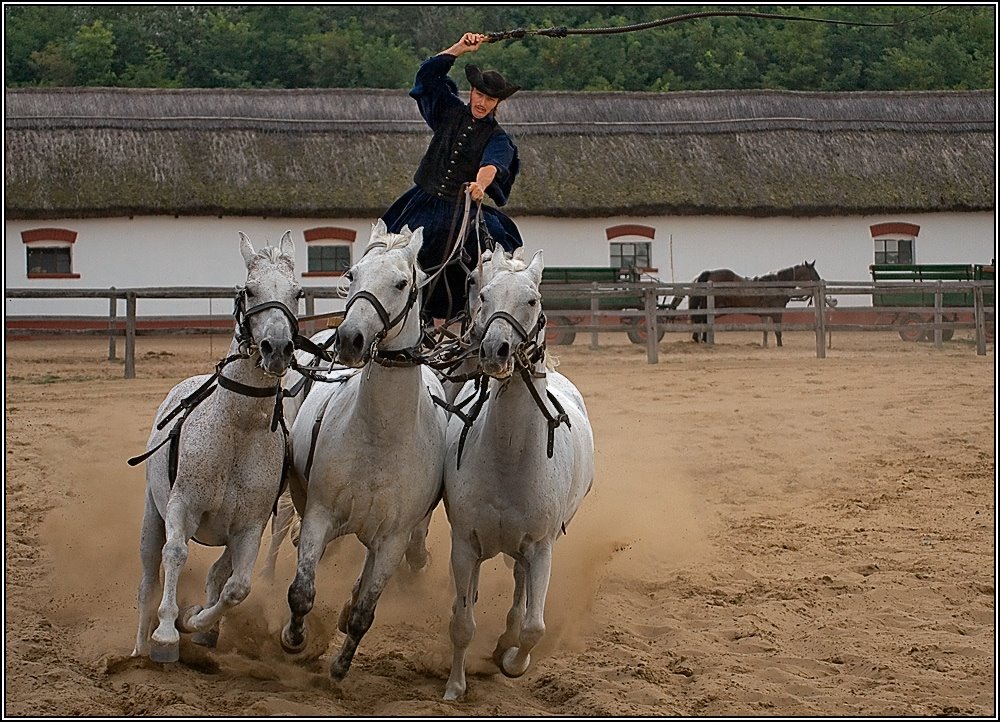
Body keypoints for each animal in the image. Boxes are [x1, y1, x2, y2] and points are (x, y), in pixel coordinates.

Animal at [133, 229, 304, 660]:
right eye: (249, 289)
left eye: (297, 292)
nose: (277, 348)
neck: (238, 430)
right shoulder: (181, 507)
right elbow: (176, 554)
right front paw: (166, 634)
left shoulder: (249, 527)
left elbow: (235, 587)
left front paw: (194, 622)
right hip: (152, 515)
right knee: (148, 581)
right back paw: (140, 646)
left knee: (218, 574)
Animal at [276, 219, 444, 680]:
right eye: (352, 274)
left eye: (402, 283)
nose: (350, 338)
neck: (379, 438)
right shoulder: (320, 514)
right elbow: (301, 589)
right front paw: (293, 638)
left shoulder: (392, 539)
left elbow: (364, 613)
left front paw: (340, 664)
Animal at [440, 248, 592, 696]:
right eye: (483, 294)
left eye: (532, 299)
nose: (496, 349)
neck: (509, 461)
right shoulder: (465, 545)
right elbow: (462, 623)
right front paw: (455, 686)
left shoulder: (541, 549)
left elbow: (533, 628)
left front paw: (512, 662)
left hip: (527, 551)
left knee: (521, 593)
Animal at [676, 262, 824, 346]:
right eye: (812, 272)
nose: (820, 281)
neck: (774, 284)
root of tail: (708, 274)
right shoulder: (777, 313)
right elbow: (778, 331)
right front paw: (779, 345)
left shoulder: (766, 314)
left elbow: (766, 330)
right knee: (702, 320)